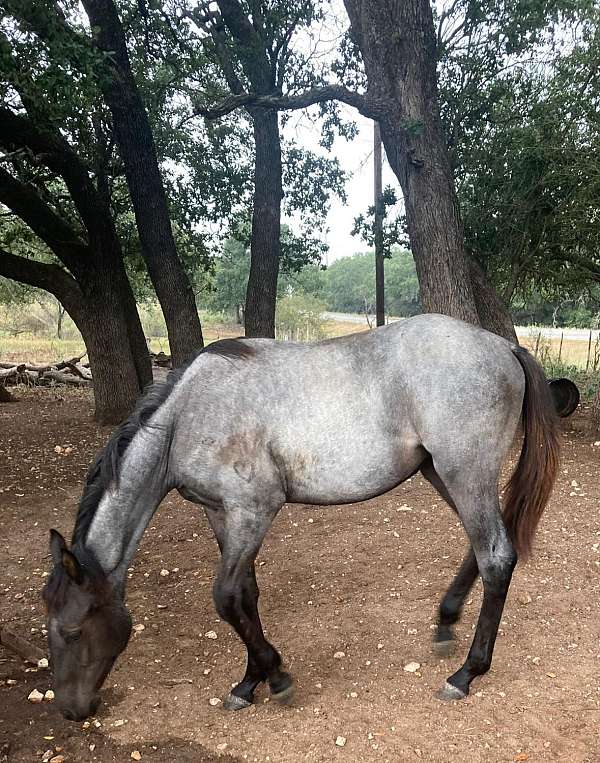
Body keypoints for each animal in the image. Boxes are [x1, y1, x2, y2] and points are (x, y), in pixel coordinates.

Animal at [41, 314, 556, 724]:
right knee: (483, 545)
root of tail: (502, 346)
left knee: (496, 557)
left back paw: (466, 673)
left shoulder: (253, 509)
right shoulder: (221, 514)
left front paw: (276, 677)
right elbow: (245, 595)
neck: (188, 415)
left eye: (71, 630)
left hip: (464, 472)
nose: (70, 710)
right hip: (442, 474)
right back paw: (446, 624)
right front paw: (249, 682)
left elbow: (226, 597)